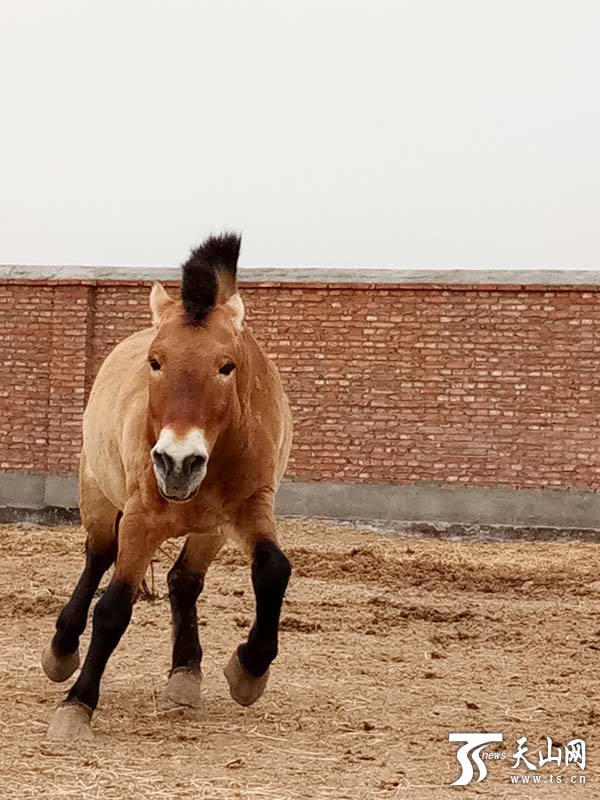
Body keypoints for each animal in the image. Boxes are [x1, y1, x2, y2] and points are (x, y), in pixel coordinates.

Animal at [41, 234, 292, 740]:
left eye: (227, 366)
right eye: (155, 362)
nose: (178, 462)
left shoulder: (251, 506)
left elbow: (273, 569)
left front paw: (249, 669)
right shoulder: (141, 518)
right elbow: (113, 606)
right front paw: (77, 704)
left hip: (209, 531)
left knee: (184, 580)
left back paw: (185, 674)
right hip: (99, 499)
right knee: (98, 557)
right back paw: (61, 649)